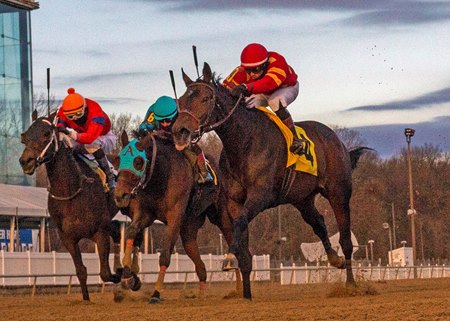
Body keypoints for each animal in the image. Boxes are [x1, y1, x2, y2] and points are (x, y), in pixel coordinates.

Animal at [18, 112, 121, 300]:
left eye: (46, 134)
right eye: (25, 136)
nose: (25, 161)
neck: (71, 191)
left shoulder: (99, 233)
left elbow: (105, 273)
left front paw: (125, 276)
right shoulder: (68, 238)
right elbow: (81, 271)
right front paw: (86, 299)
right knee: (117, 228)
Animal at [114, 131, 237, 302]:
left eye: (138, 161)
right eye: (119, 159)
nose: (120, 195)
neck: (162, 175)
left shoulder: (174, 216)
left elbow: (165, 255)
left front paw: (156, 293)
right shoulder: (145, 214)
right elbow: (131, 232)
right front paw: (128, 277)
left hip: (220, 215)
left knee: (231, 237)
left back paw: (239, 289)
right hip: (188, 227)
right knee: (198, 261)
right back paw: (201, 295)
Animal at [172, 63, 370, 300]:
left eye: (204, 99)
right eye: (181, 100)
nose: (179, 131)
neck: (244, 141)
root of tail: (336, 139)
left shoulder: (261, 196)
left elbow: (240, 223)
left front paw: (229, 258)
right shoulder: (234, 201)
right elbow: (241, 235)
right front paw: (246, 294)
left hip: (338, 193)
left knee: (346, 240)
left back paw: (351, 285)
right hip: (302, 199)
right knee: (319, 224)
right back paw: (334, 258)